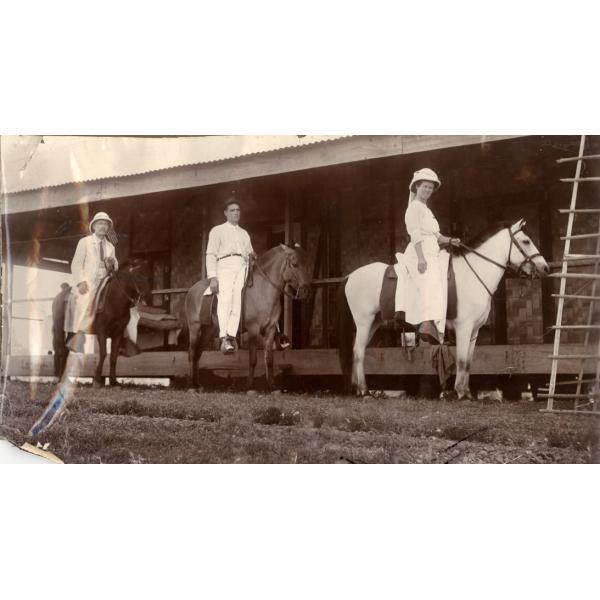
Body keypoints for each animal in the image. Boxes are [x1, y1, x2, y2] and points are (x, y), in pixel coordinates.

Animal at [185, 243, 312, 390]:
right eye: (294, 264)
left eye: (307, 264)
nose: (306, 291)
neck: (263, 290)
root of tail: (192, 290)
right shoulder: (253, 329)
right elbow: (253, 359)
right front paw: (250, 387)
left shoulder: (270, 329)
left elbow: (269, 359)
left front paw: (272, 386)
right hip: (195, 328)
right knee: (192, 353)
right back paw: (191, 386)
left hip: (208, 331)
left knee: (198, 354)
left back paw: (197, 384)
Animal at [338, 219, 548, 398]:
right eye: (526, 241)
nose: (545, 268)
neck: (473, 275)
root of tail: (350, 276)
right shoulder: (464, 328)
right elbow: (461, 360)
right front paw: (461, 393)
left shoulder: (474, 331)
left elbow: (468, 361)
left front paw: (466, 392)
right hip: (364, 322)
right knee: (359, 352)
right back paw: (363, 391)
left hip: (374, 322)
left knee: (357, 350)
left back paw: (358, 389)